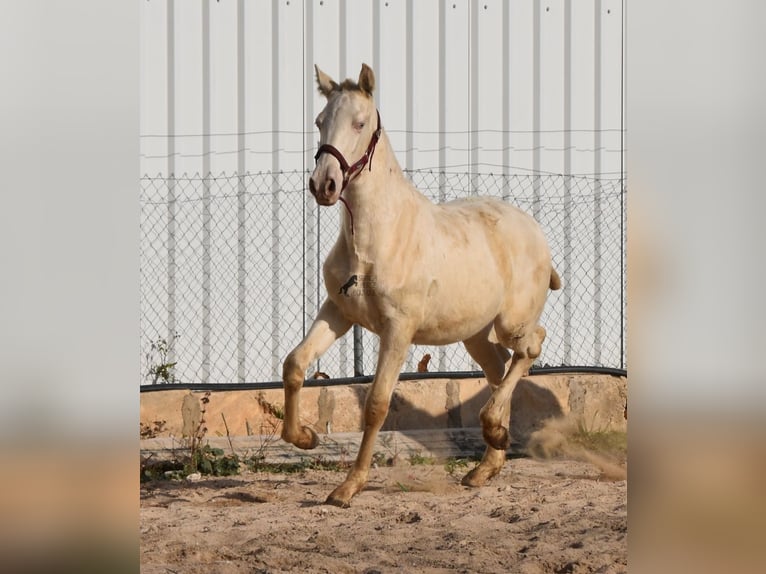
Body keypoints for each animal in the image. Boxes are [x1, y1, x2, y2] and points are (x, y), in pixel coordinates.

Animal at [280, 63, 560, 508]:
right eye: (320, 121)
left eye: (360, 122)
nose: (323, 185)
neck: (375, 238)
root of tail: (534, 229)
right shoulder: (338, 312)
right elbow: (294, 364)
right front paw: (304, 437)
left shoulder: (398, 329)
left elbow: (377, 403)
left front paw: (348, 487)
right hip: (475, 334)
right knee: (499, 368)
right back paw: (487, 461)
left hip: (510, 323)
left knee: (531, 346)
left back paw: (493, 430)